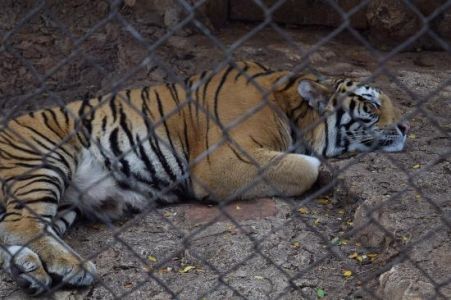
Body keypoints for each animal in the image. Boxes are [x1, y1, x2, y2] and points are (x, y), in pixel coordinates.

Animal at [0, 60, 410, 292]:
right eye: (372, 104)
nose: (406, 126)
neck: (290, 107)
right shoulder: (222, 161)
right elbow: (305, 166)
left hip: (63, 201)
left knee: (16, 229)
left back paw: (32, 273)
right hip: (43, 162)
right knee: (20, 224)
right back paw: (75, 268)